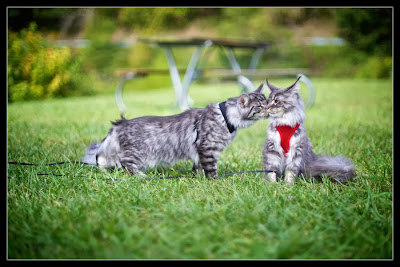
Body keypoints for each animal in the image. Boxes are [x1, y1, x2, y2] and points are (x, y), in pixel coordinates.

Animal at [81, 81, 268, 178]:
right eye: (260, 106)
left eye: (267, 101)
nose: (269, 109)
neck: (225, 116)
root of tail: (120, 123)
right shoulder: (207, 148)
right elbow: (211, 168)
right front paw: (214, 181)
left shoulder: (199, 151)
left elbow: (198, 167)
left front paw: (198, 178)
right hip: (136, 153)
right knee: (125, 165)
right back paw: (141, 176)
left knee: (103, 160)